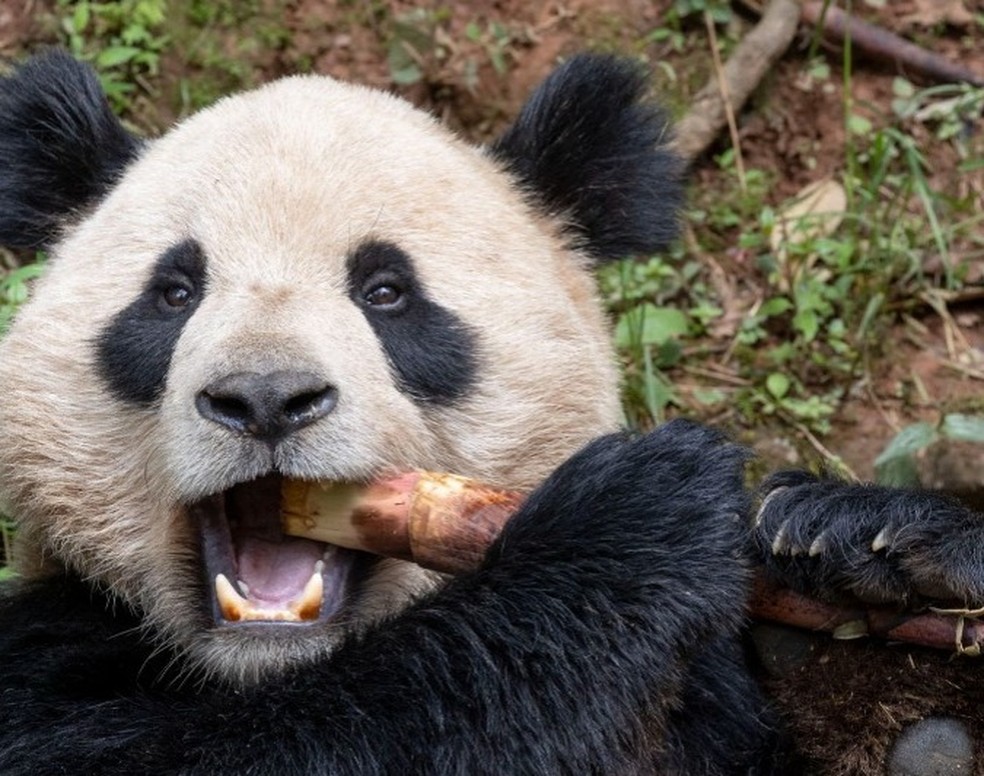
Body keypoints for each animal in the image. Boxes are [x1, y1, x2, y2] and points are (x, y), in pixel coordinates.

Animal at [0, 51, 789, 774]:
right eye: (173, 293)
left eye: (387, 292)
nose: (265, 398)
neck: (271, 665)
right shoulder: (52, 642)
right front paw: (627, 523)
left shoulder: (706, 695)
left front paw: (810, 530)